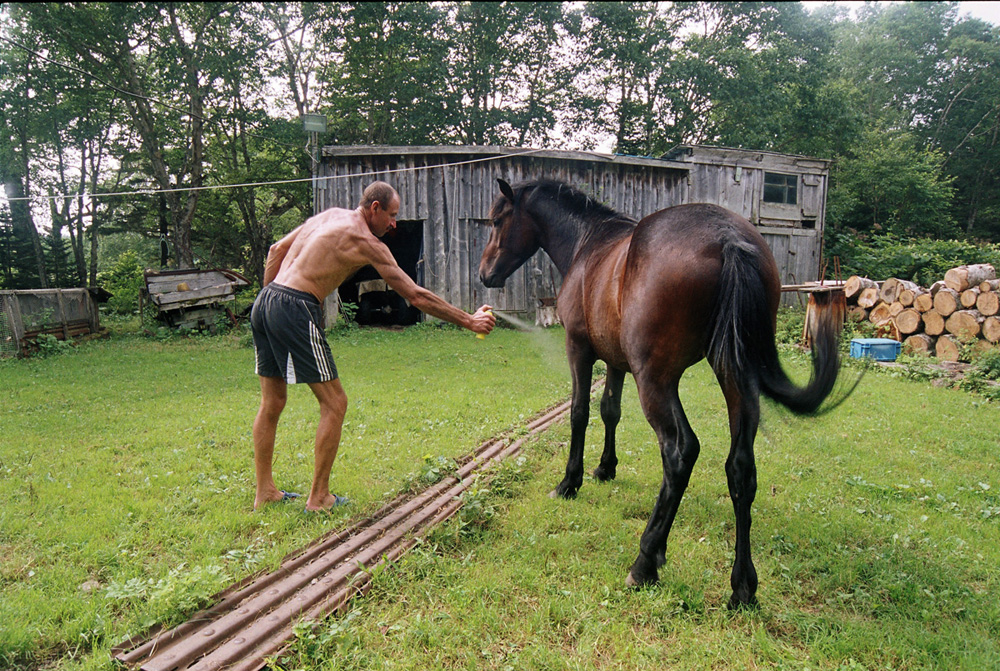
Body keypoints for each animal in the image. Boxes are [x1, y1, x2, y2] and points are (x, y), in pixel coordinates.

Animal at [478, 178, 844, 608]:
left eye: (497, 220)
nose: (484, 273)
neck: (589, 244)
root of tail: (729, 238)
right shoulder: (616, 362)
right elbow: (610, 410)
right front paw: (606, 468)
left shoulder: (579, 350)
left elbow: (580, 412)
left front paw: (571, 482)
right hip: (734, 376)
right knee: (741, 467)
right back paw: (742, 585)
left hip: (655, 379)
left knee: (680, 453)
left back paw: (645, 560)